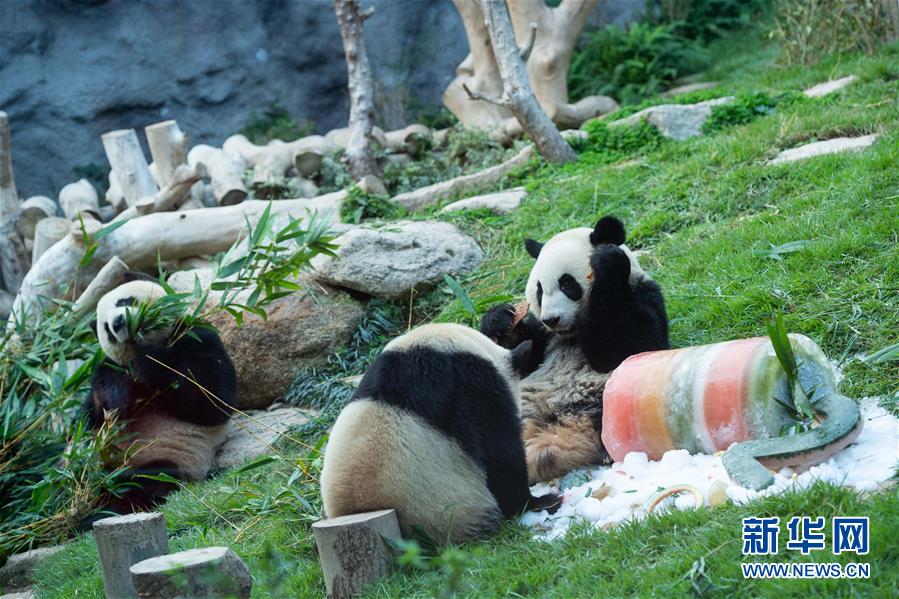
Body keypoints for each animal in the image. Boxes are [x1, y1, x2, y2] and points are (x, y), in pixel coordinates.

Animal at [83, 272, 238, 511]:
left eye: (124, 301)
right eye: (107, 329)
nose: (118, 322)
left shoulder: (198, 337)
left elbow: (214, 400)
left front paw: (149, 362)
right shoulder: (111, 371)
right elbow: (93, 414)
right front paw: (116, 396)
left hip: (170, 457)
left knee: (147, 482)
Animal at [480, 216, 668, 483]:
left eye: (567, 283)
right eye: (539, 290)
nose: (551, 319)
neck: (571, 334)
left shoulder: (643, 295)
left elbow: (625, 346)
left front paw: (607, 264)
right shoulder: (543, 335)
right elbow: (523, 356)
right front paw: (499, 320)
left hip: (611, 401)